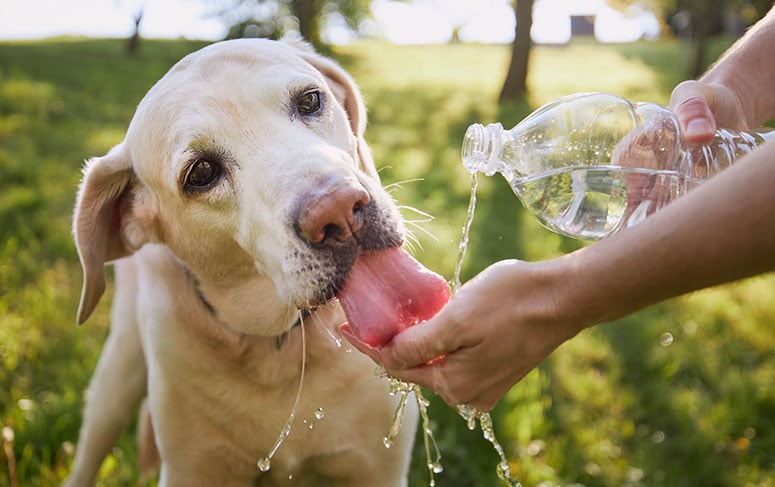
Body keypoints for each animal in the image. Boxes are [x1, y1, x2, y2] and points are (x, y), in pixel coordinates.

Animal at [66, 39, 452, 487]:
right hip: (118, 371)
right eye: (202, 172)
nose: (338, 210)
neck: (280, 348)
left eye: (310, 101)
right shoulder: (190, 470)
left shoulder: (377, 470)